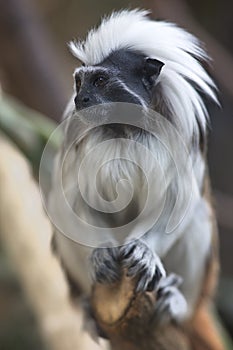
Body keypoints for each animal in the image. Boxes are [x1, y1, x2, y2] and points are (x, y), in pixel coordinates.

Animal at [48, 9, 225, 348]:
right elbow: (73, 204)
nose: (80, 100)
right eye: (79, 82)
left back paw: (176, 303)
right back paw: (89, 309)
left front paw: (144, 251)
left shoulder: (180, 142)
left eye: (100, 80)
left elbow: (176, 206)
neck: (123, 128)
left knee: (198, 213)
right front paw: (101, 253)